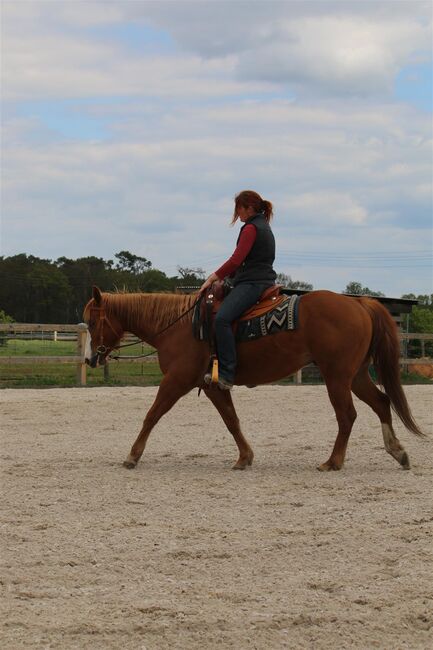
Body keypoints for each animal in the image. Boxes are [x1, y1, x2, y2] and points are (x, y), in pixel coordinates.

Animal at [83, 286, 422, 468]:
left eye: (92, 322)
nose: (90, 358)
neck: (178, 326)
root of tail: (358, 302)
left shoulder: (177, 381)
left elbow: (152, 415)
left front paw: (132, 455)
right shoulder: (212, 386)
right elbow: (232, 420)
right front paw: (245, 457)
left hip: (337, 377)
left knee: (347, 415)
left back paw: (333, 461)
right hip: (356, 376)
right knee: (381, 402)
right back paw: (398, 452)